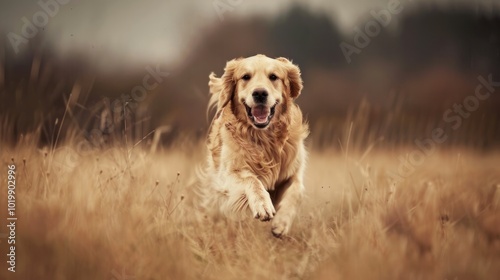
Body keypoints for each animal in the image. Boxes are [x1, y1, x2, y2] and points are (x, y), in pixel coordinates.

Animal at [199, 54, 308, 236]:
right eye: (245, 77)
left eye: (273, 77)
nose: (260, 93)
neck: (264, 138)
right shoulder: (228, 174)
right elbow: (252, 180)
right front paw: (263, 205)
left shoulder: (293, 170)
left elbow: (297, 191)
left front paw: (281, 222)